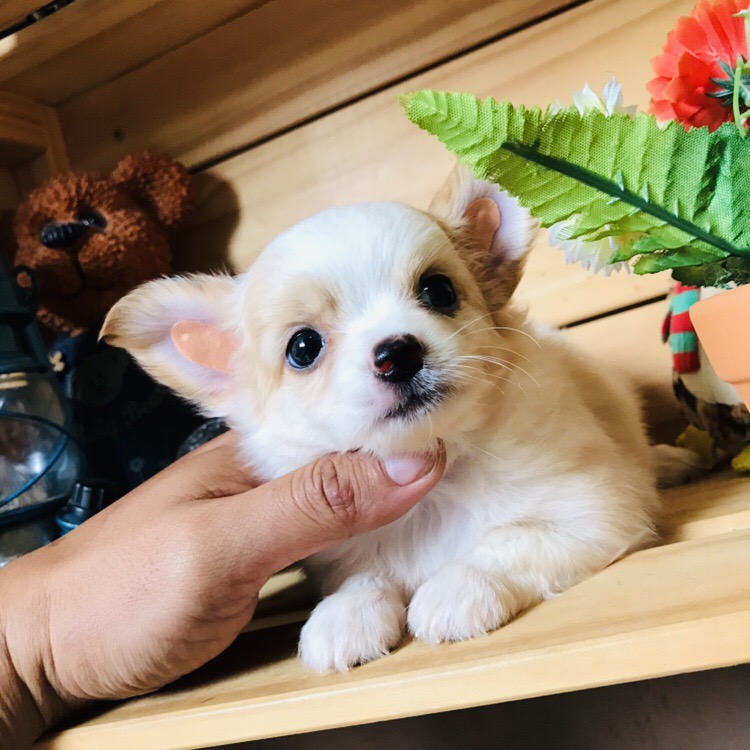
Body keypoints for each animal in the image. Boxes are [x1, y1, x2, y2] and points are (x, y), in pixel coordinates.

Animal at [102, 166, 694, 673]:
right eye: (303, 348)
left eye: (438, 290)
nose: (397, 353)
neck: (440, 479)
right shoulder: (351, 552)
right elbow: (364, 578)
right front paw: (342, 617)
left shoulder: (594, 507)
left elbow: (508, 541)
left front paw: (456, 587)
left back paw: (672, 460)